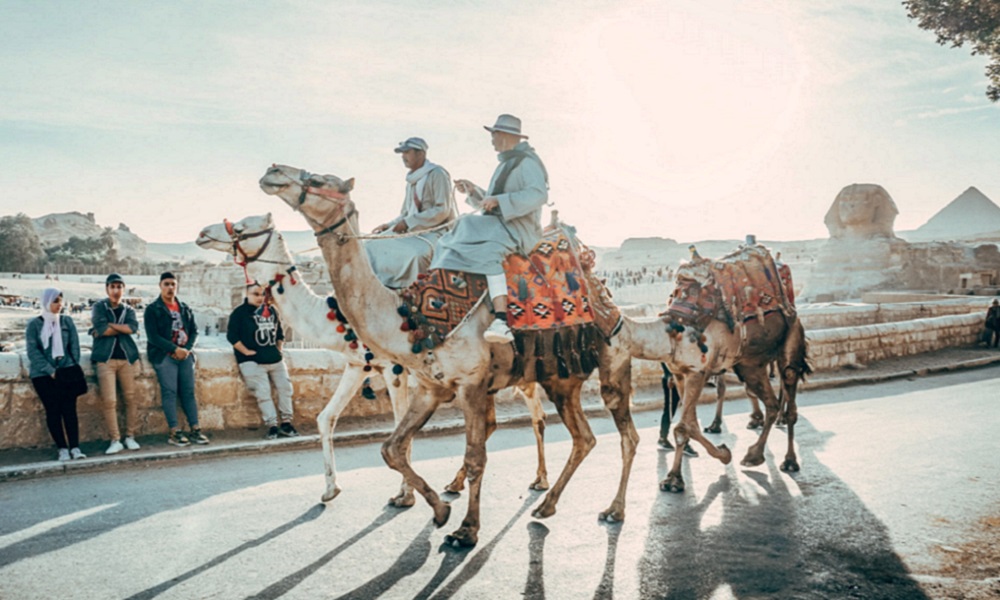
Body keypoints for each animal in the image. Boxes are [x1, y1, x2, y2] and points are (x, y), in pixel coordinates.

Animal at [195, 213, 556, 504]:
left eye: (243, 227)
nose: (202, 233)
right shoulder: (358, 363)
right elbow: (325, 417)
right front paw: (330, 489)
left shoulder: (394, 368)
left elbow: (399, 427)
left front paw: (404, 495)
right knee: (499, 420)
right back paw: (463, 484)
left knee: (537, 416)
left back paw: (539, 480)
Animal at [254, 164, 636, 548]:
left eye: (318, 180)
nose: (273, 171)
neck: (411, 317)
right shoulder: (431, 386)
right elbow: (391, 448)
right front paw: (439, 510)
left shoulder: (470, 383)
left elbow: (476, 456)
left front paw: (466, 529)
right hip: (560, 379)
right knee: (584, 438)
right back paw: (546, 505)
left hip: (611, 360)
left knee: (625, 434)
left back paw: (613, 510)